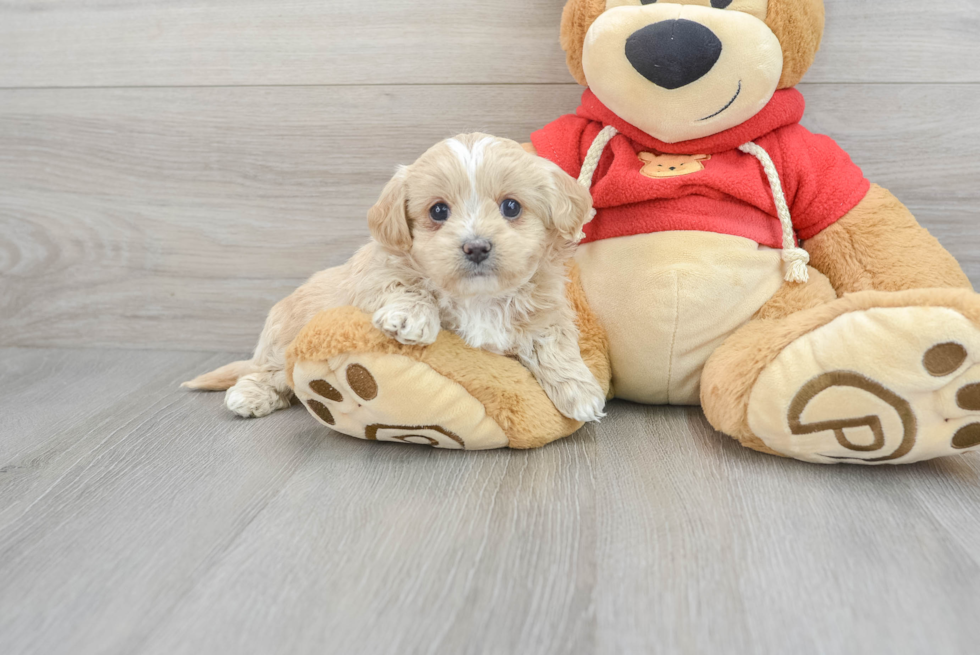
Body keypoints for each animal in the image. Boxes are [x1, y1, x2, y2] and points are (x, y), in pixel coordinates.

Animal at [186, 135, 604, 426]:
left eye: (512, 207)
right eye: (438, 211)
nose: (476, 247)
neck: (477, 298)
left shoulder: (542, 312)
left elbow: (553, 344)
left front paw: (580, 391)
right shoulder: (374, 276)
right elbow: (403, 286)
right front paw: (412, 317)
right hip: (282, 339)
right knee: (268, 372)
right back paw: (250, 396)